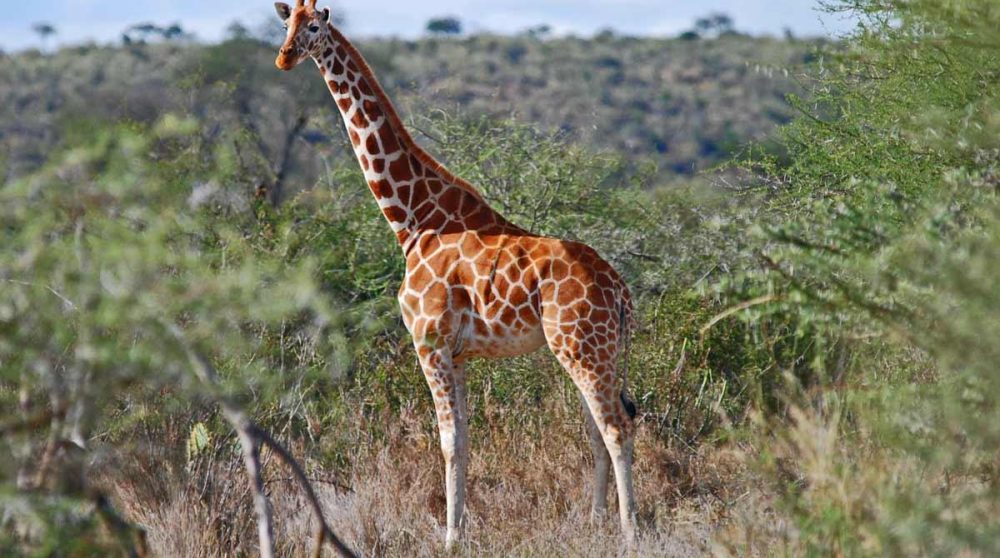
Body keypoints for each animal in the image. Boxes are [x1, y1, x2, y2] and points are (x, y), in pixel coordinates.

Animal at [274, 1, 638, 547]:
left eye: (314, 26)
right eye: (286, 23)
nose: (284, 57)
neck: (413, 221)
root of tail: (619, 290)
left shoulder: (429, 341)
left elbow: (447, 441)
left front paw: (450, 537)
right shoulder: (458, 351)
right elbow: (463, 439)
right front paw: (460, 528)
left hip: (581, 345)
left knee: (615, 427)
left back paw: (631, 532)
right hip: (595, 347)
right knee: (603, 426)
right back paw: (596, 523)